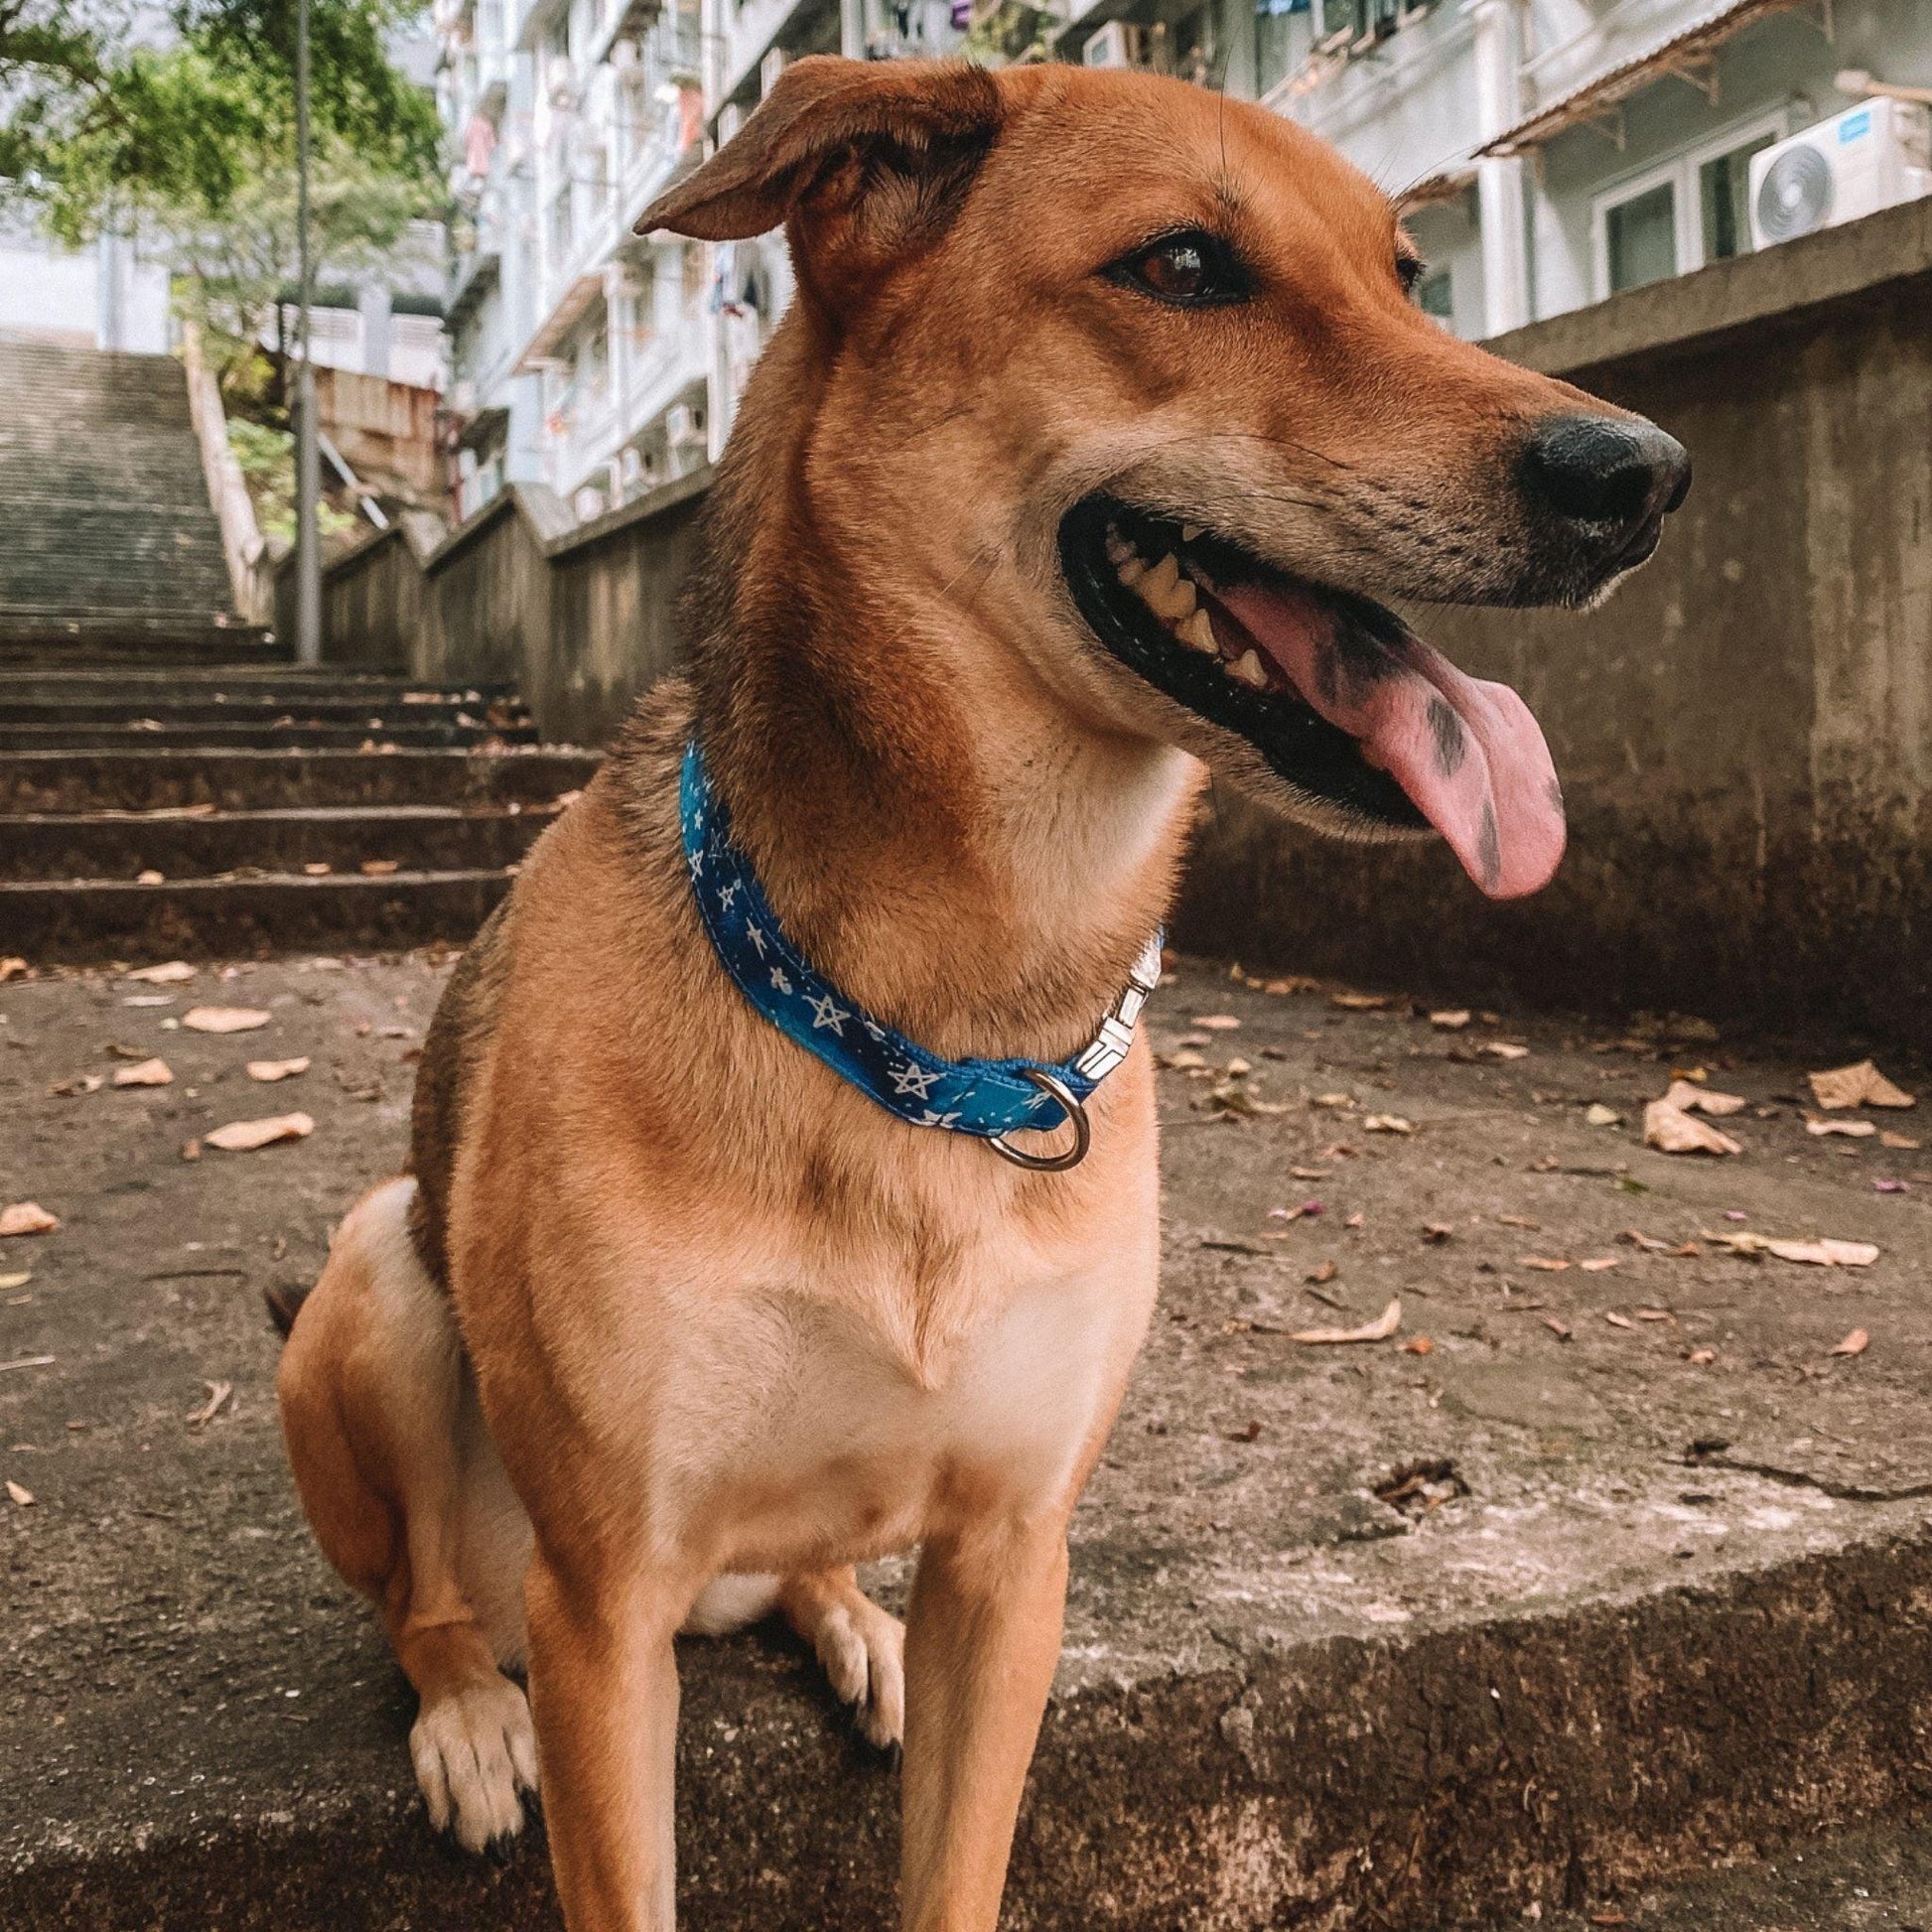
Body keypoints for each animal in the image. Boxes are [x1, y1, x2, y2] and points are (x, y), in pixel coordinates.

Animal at [276, 56, 1692, 1932]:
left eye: (1407, 276)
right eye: (1184, 267)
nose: (1643, 474)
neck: (949, 1027)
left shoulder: (1016, 1560)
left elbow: (955, 1861)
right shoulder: (601, 1616)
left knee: (804, 1561)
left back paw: (850, 1623)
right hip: (381, 1276)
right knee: (420, 1596)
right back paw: (459, 1715)